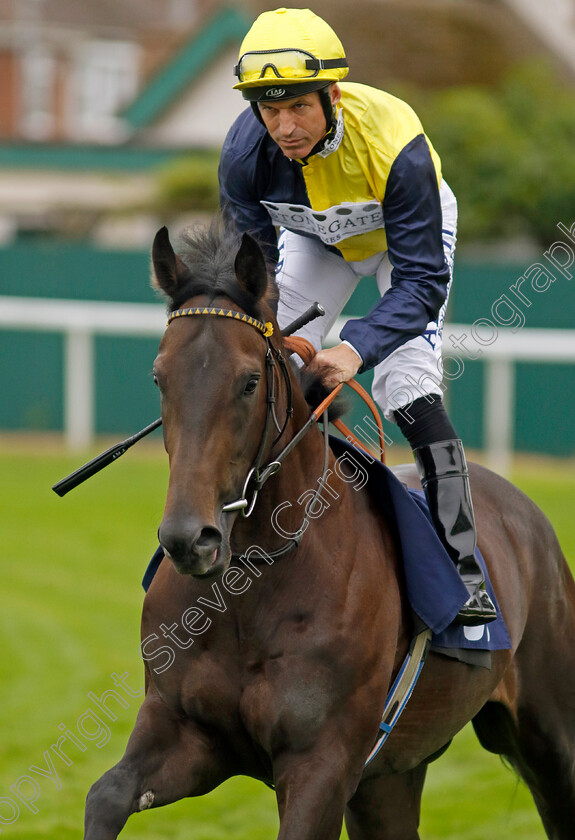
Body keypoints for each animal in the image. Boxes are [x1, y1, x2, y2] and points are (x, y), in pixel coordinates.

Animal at [83, 220, 575, 836]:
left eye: (249, 381)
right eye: (159, 377)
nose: (189, 539)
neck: (249, 588)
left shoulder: (324, 759)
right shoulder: (186, 731)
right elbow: (105, 796)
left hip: (550, 729)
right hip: (389, 776)